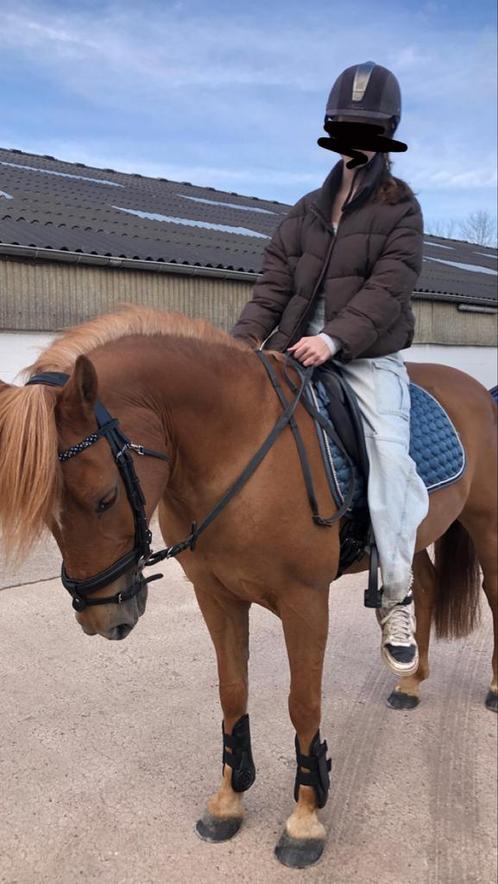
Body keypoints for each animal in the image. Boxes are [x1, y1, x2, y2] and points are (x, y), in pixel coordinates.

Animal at [0, 306, 496, 872]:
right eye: (48, 514)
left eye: (104, 499)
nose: (102, 618)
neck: (234, 451)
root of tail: (475, 387)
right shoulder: (216, 597)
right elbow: (232, 691)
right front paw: (228, 800)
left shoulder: (305, 601)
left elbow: (303, 703)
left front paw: (305, 820)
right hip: (413, 532)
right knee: (425, 587)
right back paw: (411, 680)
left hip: (485, 524)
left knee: (494, 592)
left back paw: (491, 688)